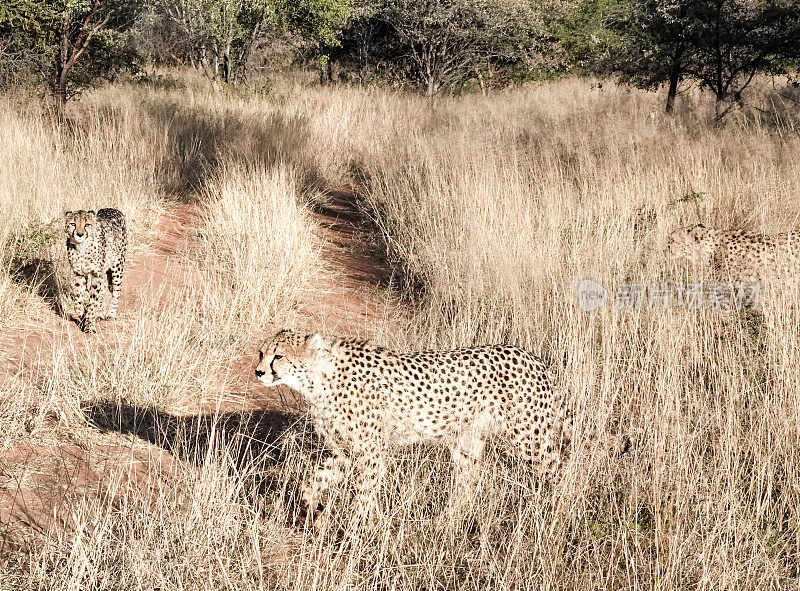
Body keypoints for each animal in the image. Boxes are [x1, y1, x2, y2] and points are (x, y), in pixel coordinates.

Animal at [256, 330, 568, 520]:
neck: (319, 379)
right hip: (467, 442)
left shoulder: (371, 452)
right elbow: (313, 479)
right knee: (468, 483)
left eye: (279, 356)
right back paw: (447, 522)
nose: (258, 371)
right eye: (261, 353)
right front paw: (311, 508)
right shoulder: (345, 452)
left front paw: (355, 533)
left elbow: (365, 495)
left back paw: (556, 513)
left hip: (530, 438)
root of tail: (534, 359)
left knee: (556, 470)